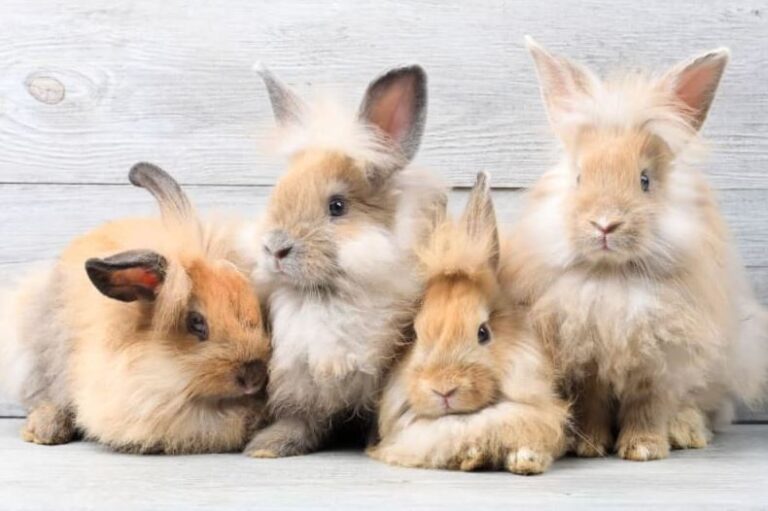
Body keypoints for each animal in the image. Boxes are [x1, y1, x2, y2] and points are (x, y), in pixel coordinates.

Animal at [239, 65, 446, 458]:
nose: (275, 248)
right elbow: (302, 417)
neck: (324, 296)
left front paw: (378, 444)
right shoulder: (299, 381)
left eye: (337, 206)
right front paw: (270, 445)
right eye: (278, 191)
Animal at [502, 37, 768, 461]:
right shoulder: (585, 360)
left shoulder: (660, 360)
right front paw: (589, 446)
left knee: (705, 407)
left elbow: (649, 405)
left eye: (645, 180)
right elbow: (591, 403)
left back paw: (686, 431)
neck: (614, 278)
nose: (605, 224)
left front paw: (644, 448)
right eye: (579, 177)